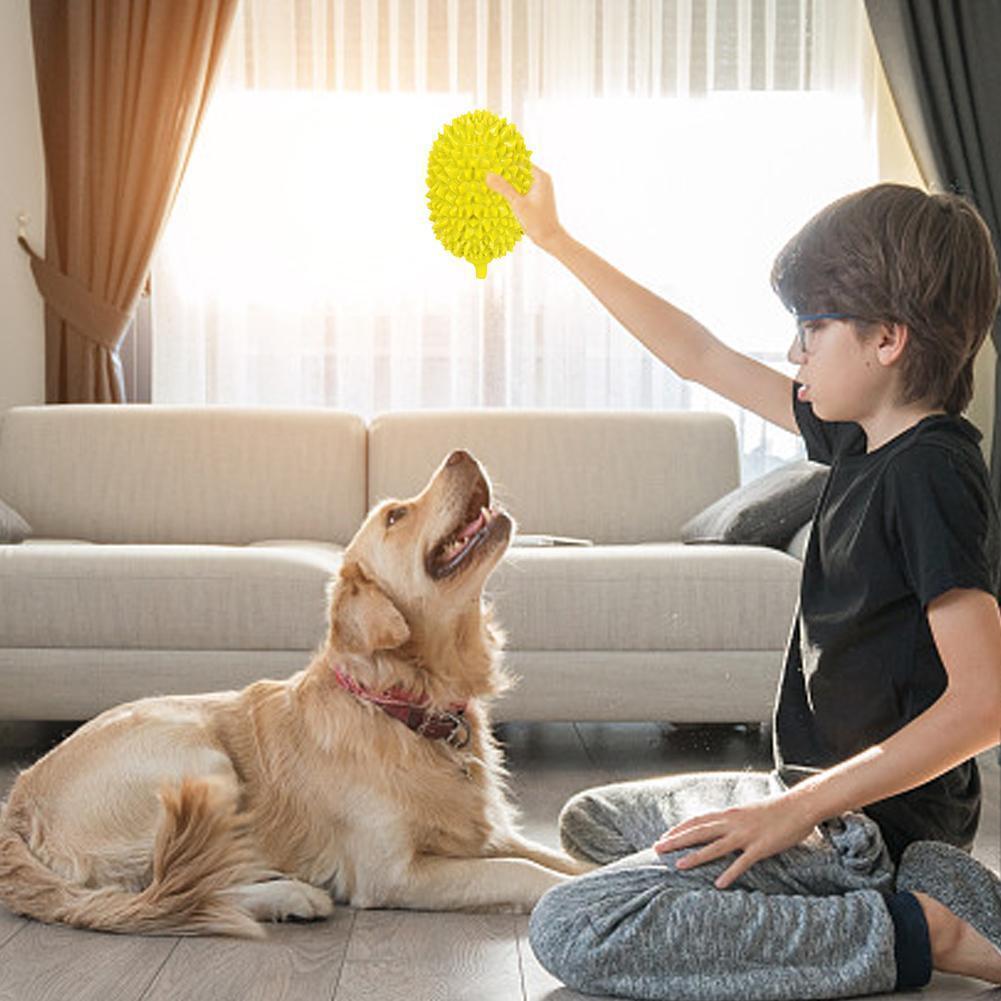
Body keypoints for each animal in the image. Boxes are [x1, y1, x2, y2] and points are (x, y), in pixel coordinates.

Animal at [0, 450, 588, 932]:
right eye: (395, 516)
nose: (461, 452)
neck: (400, 705)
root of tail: (20, 799)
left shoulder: (489, 831)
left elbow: (559, 858)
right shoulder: (392, 872)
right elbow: (521, 871)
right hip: (198, 758)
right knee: (178, 887)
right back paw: (292, 895)